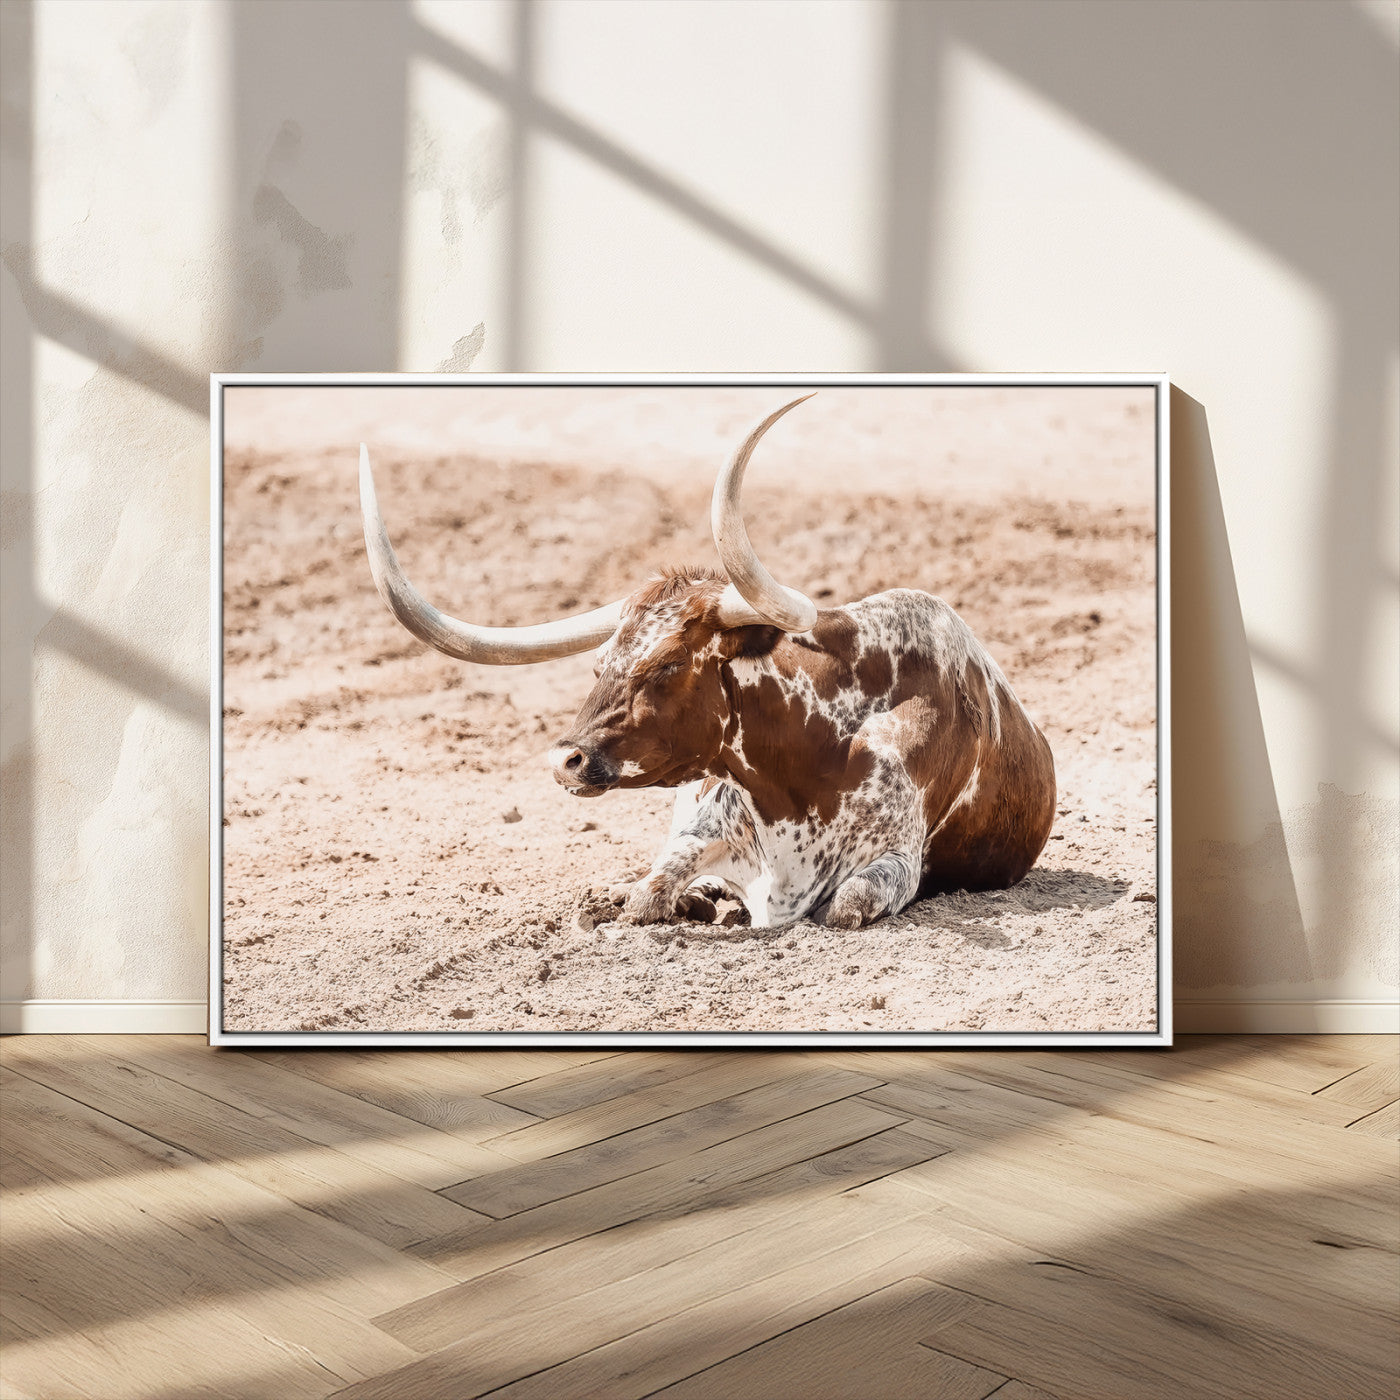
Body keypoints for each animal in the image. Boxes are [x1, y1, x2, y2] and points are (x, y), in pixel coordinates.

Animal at [359, 395, 1056, 930]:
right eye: (600, 664)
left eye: (667, 665)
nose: (565, 760)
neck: (809, 764)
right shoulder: (700, 826)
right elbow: (648, 892)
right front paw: (654, 900)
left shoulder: (896, 863)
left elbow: (845, 904)